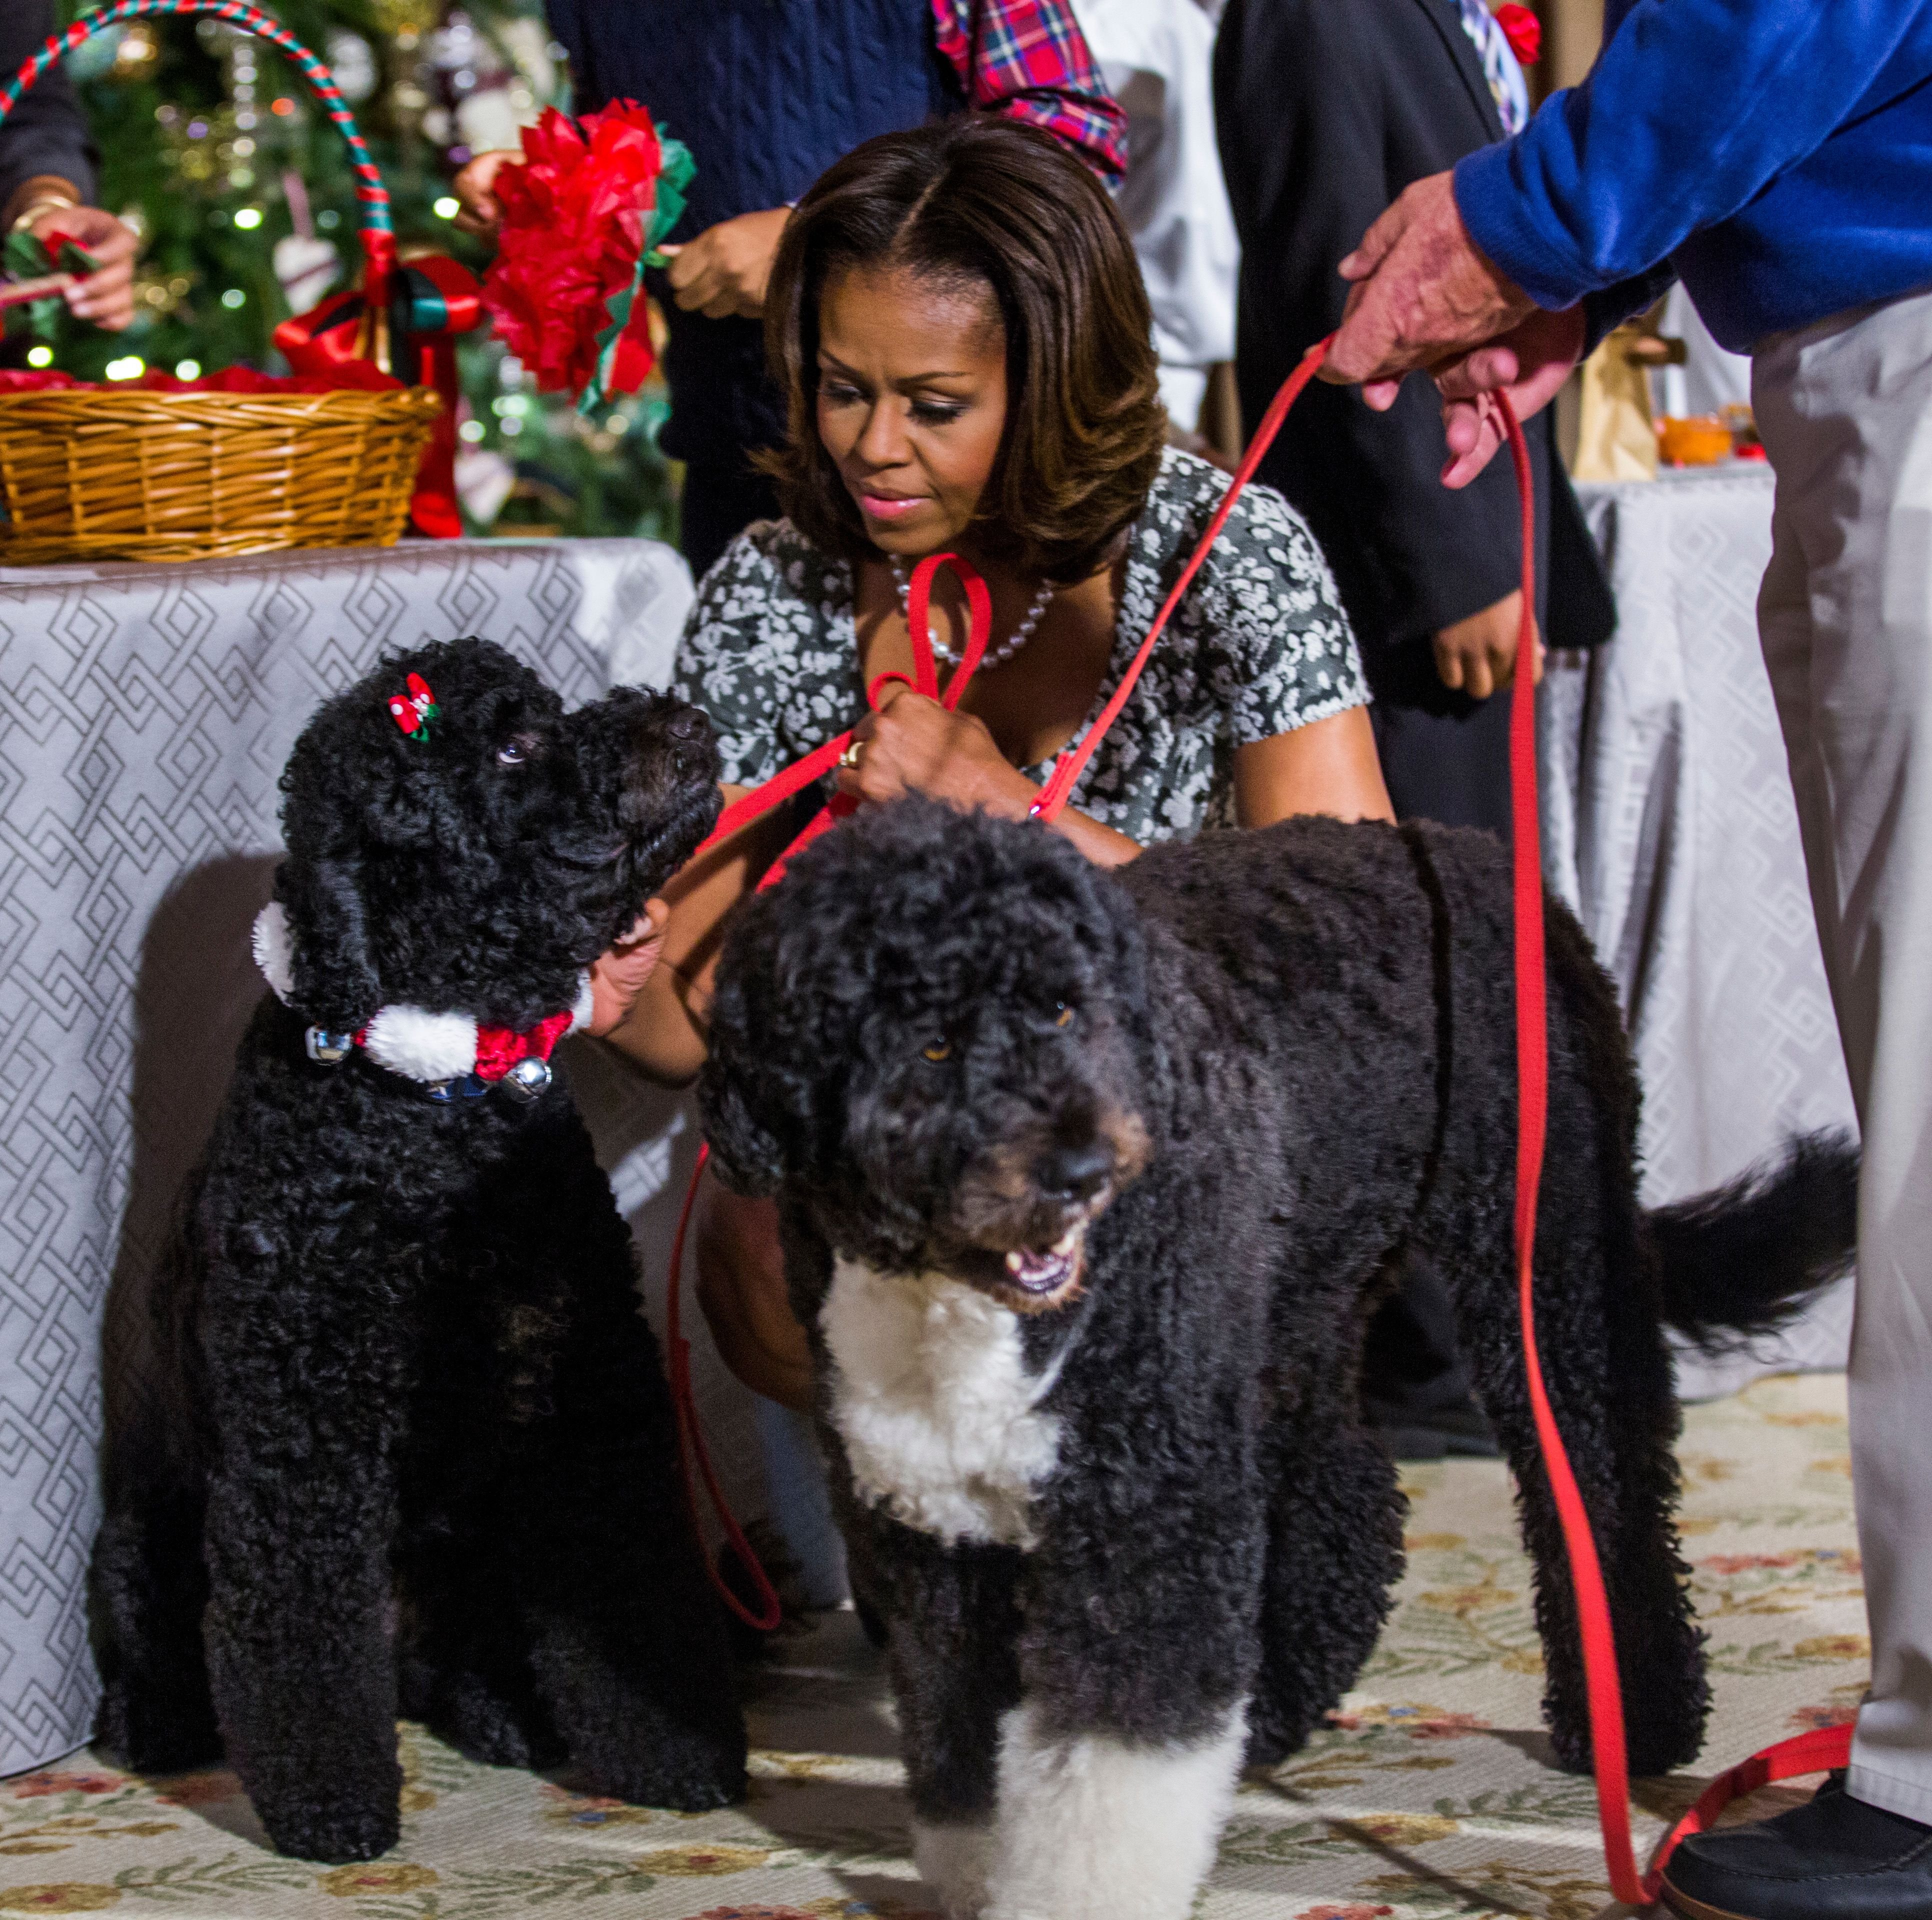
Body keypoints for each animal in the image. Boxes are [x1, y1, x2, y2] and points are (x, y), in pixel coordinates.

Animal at [94, 641, 750, 1854]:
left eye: (547, 708)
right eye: (513, 745)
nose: (678, 717)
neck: (431, 1112)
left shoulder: (589, 1395)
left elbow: (635, 1584)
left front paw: (673, 1753)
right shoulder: (303, 1428)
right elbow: (295, 1625)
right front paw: (329, 1805)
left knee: (459, 1657)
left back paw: (503, 1715)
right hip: (149, 1531)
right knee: (169, 1641)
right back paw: (156, 1722)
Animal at [703, 792, 1862, 1916]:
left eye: (1067, 1008)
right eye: (931, 1043)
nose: (1084, 1169)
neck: (953, 1298)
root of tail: (1464, 848)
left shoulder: (1147, 1512)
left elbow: (1110, 1779)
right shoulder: (937, 1528)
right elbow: (960, 1744)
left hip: (1548, 1263)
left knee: (1600, 1484)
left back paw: (1636, 1719)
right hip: (1285, 1312)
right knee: (1346, 1505)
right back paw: (1275, 1709)